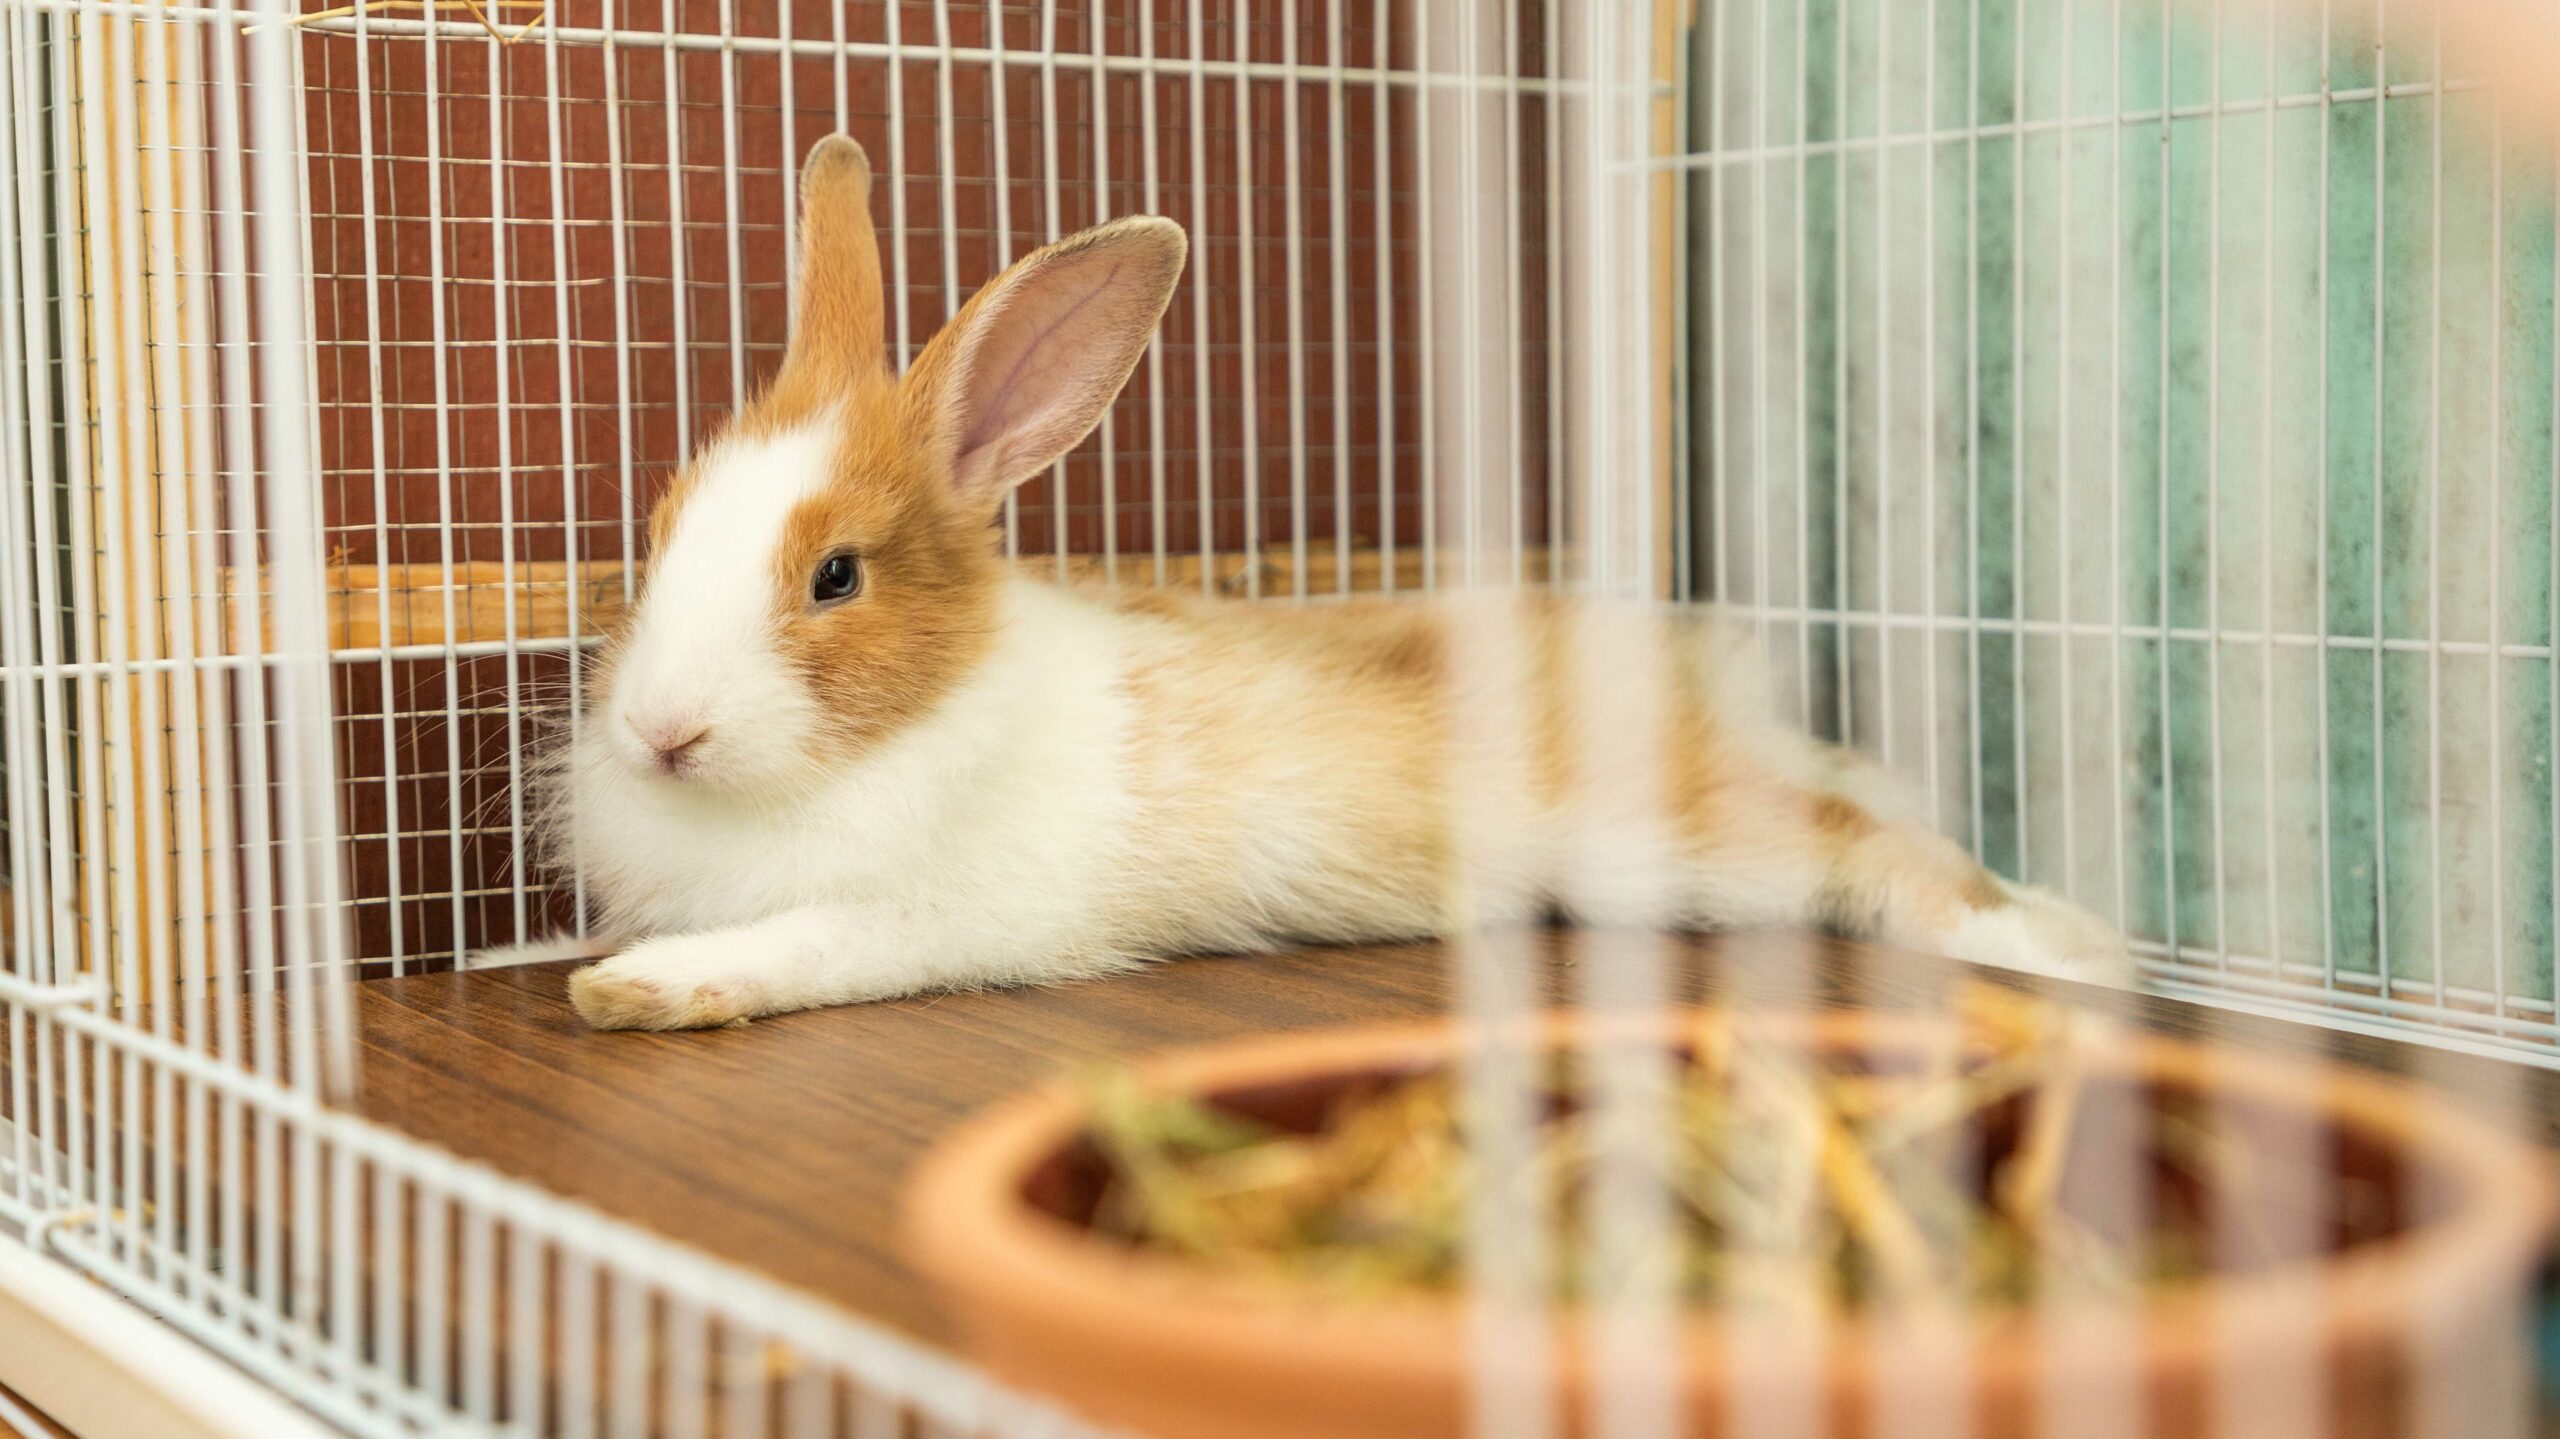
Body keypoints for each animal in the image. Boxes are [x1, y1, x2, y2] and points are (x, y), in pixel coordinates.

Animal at [529, 134, 2129, 1024]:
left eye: (837, 576)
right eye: (659, 528)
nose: (660, 731)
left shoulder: (940, 914)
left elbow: (801, 946)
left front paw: (633, 994)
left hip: (1655, 844)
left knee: (1874, 845)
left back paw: (2071, 947)